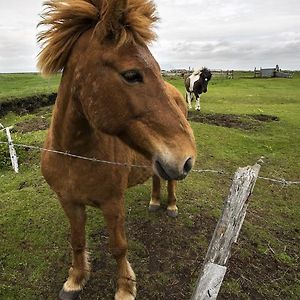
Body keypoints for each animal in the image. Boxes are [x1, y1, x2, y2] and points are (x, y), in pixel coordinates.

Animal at [37, 0, 196, 300]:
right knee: (157, 177)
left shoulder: (113, 204)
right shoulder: (69, 202)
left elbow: (118, 247)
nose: (187, 157)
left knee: (170, 182)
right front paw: (75, 280)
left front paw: (124, 287)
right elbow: (77, 241)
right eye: (132, 75)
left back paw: (170, 205)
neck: (74, 154)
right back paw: (154, 202)